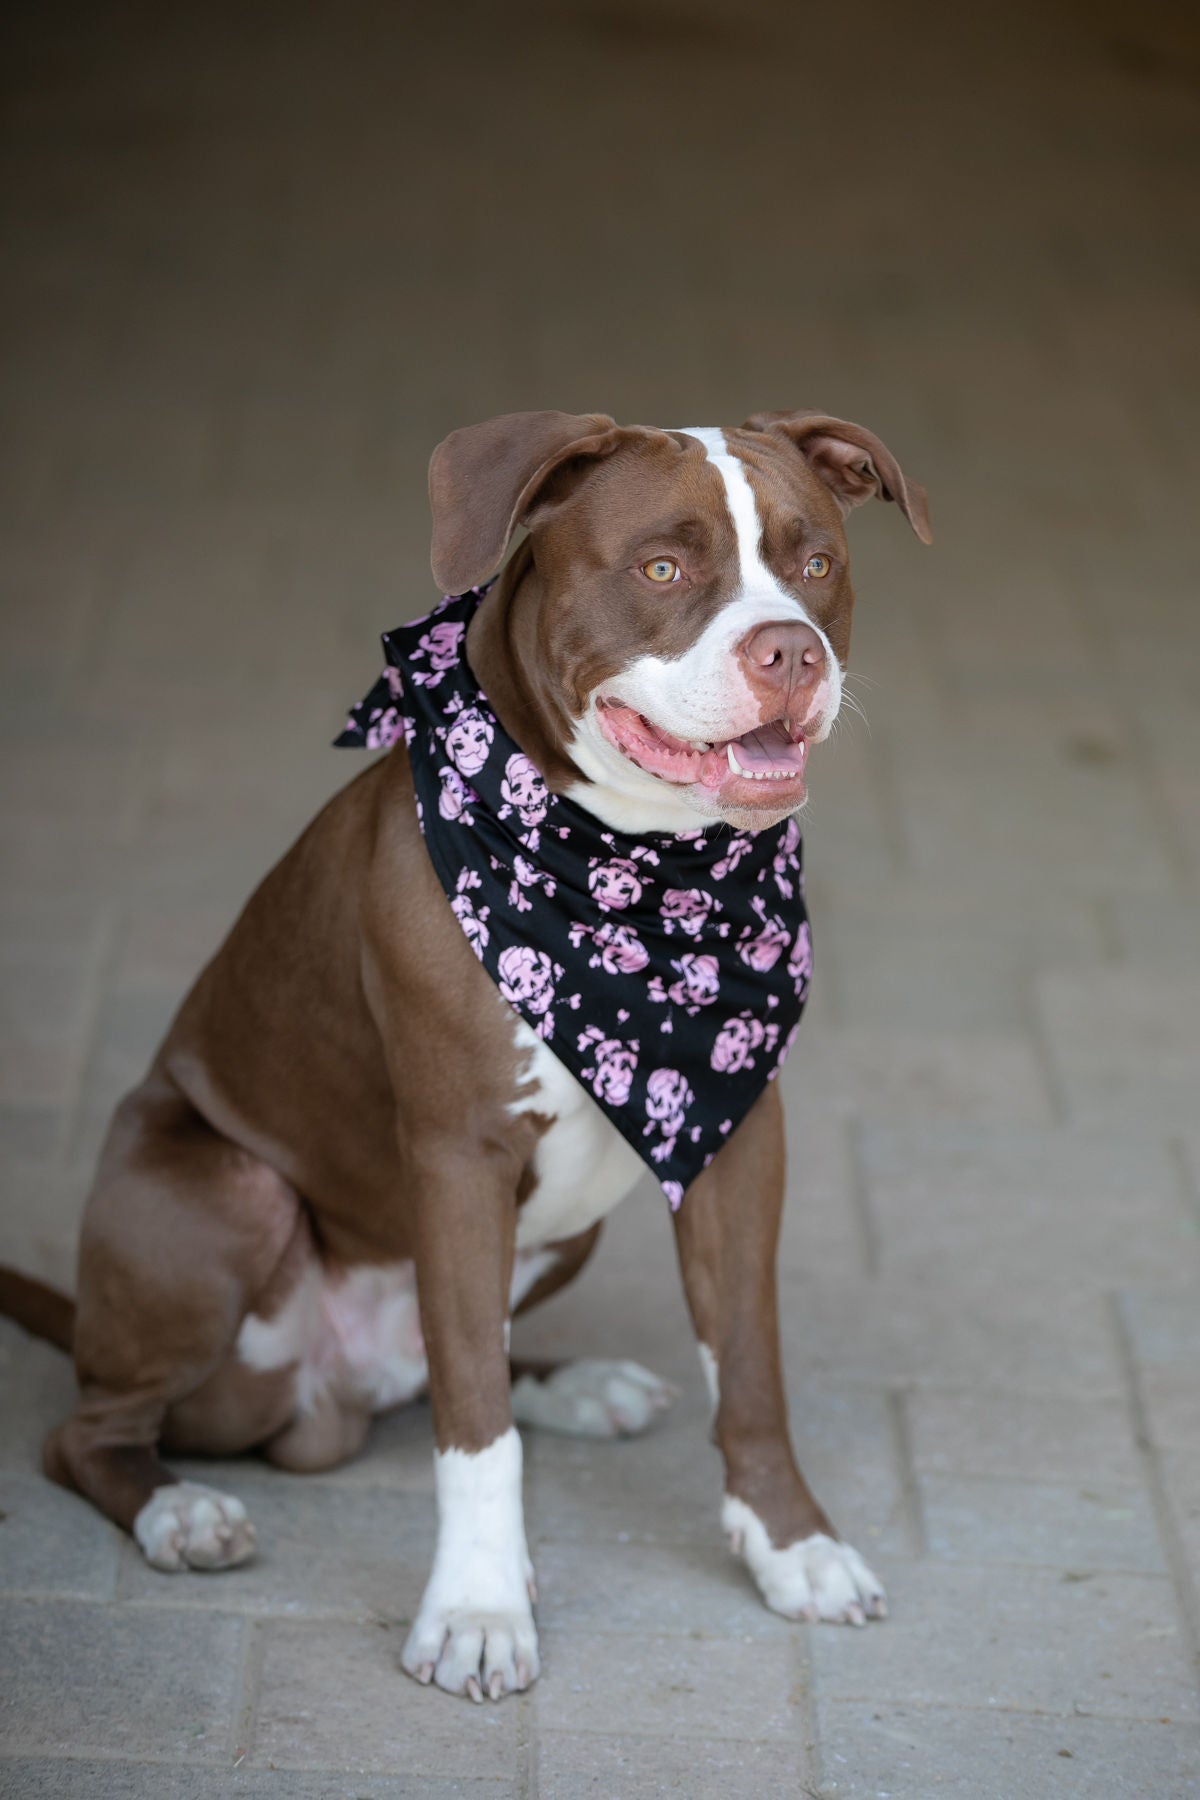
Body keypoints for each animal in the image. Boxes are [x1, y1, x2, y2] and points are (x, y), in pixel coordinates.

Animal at [0, 408, 935, 1699]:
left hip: (563, 1226)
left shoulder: (734, 1138)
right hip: (225, 1207)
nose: (791, 653)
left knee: (463, 1354)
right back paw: (178, 1509)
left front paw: (792, 1547)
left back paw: (575, 1385)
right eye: (663, 568)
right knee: (96, 1427)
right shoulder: (458, 1155)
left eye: (816, 563)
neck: (634, 876)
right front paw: (481, 1609)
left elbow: (747, 1364)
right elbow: (476, 1430)